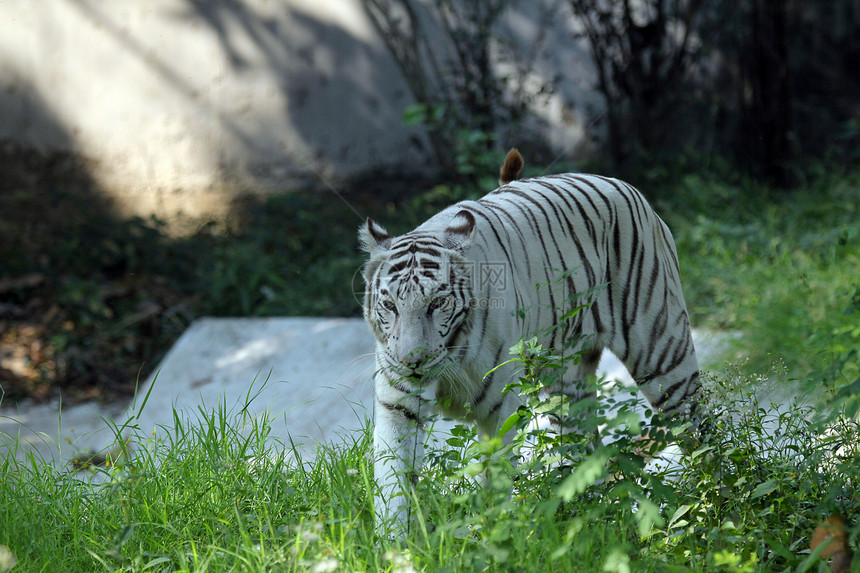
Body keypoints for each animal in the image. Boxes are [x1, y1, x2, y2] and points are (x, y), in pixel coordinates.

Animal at [356, 151, 700, 528]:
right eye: (390, 305)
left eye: (437, 303)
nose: (412, 362)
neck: (450, 358)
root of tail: (617, 182)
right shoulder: (398, 405)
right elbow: (394, 482)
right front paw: (397, 540)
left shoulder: (499, 408)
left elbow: (495, 477)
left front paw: (494, 532)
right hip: (568, 388)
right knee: (585, 449)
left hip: (663, 352)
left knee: (699, 426)